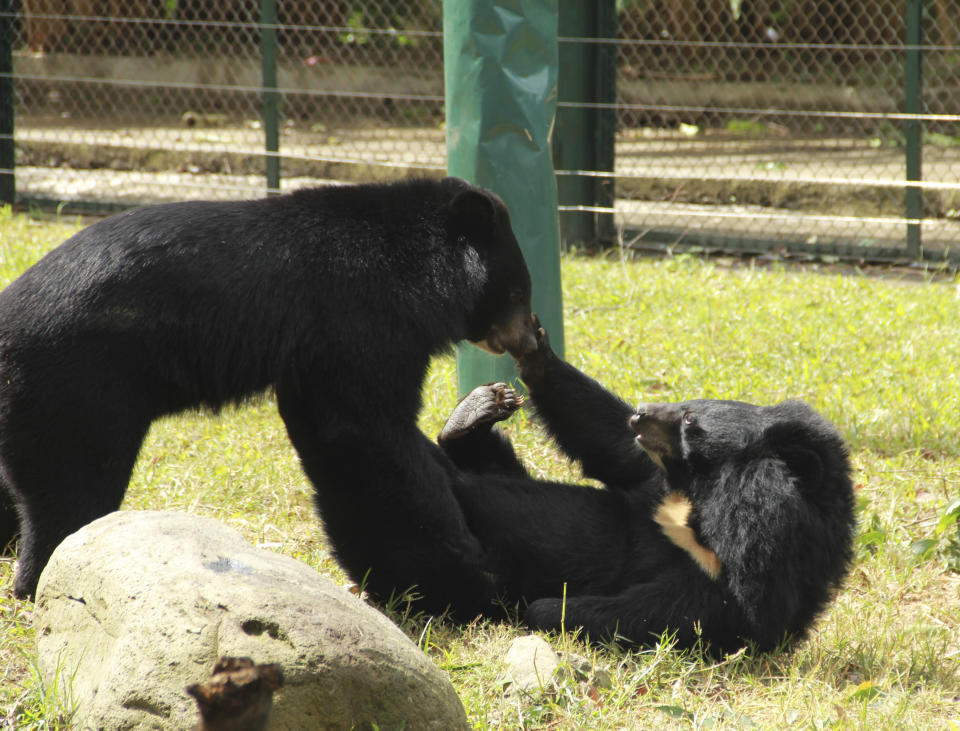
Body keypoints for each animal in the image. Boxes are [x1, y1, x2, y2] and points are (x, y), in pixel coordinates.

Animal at [0, 177, 540, 600]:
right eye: (517, 290)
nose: (531, 338)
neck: (417, 271)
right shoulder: (362, 321)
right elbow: (364, 427)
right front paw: (458, 566)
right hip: (77, 392)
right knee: (71, 488)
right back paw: (40, 577)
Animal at [318, 324, 860, 656]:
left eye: (689, 421)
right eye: (685, 405)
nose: (641, 414)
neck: (698, 490)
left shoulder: (755, 548)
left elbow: (710, 606)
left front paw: (550, 610)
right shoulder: (654, 480)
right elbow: (613, 447)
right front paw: (534, 348)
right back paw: (474, 411)